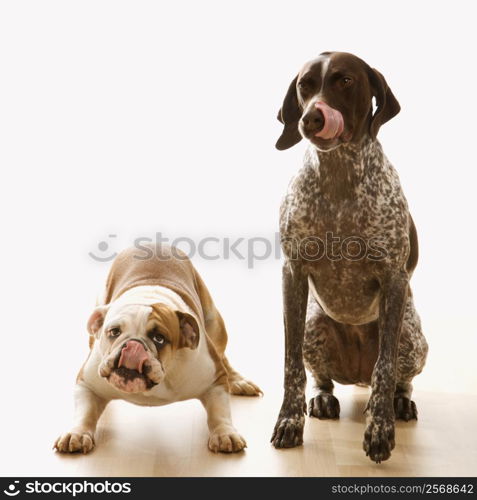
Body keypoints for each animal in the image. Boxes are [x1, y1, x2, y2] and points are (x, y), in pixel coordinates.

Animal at [55, 244, 260, 456]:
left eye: (159, 339)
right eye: (114, 332)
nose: (133, 345)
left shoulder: (214, 380)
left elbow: (219, 411)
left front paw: (224, 434)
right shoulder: (87, 383)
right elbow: (84, 412)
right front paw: (77, 434)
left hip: (215, 324)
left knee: (223, 355)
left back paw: (238, 381)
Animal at [272, 50, 428, 460]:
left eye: (345, 81)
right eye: (305, 86)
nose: (312, 117)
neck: (339, 174)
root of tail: (356, 375)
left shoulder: (393, 278)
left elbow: (385, 369)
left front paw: (380, 429)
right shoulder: (293, 273)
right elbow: (291, 365)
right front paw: (289, 421)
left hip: (412, 337)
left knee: (398, 378)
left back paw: (398, 402)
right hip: (314, 325)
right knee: (320, 378)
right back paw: (323, 398)